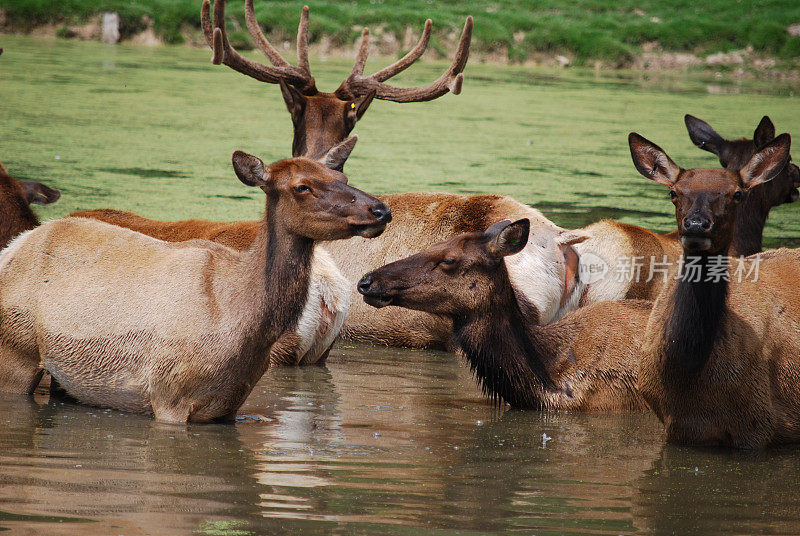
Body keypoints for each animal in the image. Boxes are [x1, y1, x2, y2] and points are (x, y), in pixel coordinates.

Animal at [0, 148, 390, 422]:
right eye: (302, 187)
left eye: (342, 174)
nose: (380, 210)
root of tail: (14, 246)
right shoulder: (168, 393)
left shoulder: (228, 406)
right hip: (15, 351)